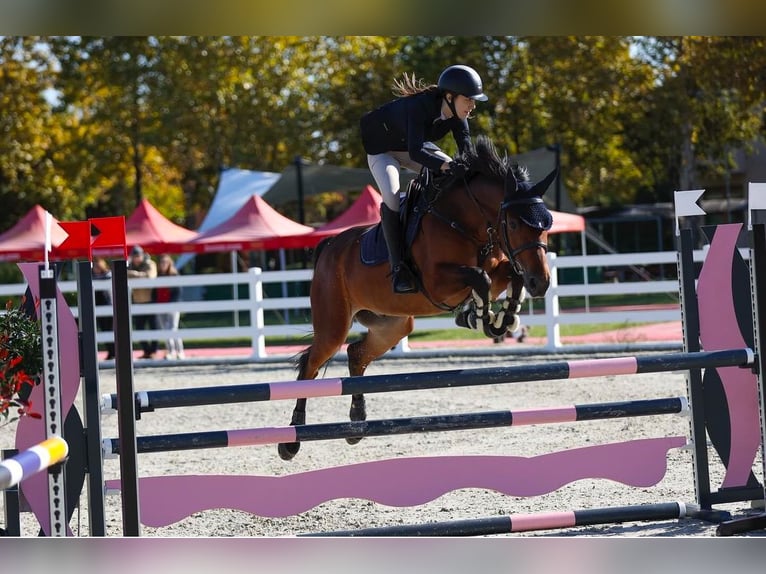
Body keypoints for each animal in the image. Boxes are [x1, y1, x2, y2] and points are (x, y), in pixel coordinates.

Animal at [280, 136, 556, 464]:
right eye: (513, 225)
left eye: (547, 225)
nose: (541, 283)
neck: (462, 221)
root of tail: (330, 246)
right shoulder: (437, 284)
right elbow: (481, 278)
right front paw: (480, 317)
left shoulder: (497, 267)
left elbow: (508, 276)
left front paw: (502, 318)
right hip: (333, 326)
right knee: (310, 366)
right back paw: (292, 440)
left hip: (393, 326)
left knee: (356, 354)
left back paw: (357, 423)